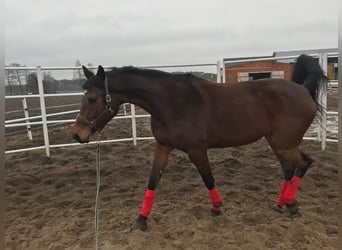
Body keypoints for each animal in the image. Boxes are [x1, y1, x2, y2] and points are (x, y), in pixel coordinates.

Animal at [71, 54, 326, 230]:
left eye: (92, 99)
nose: (77, 134)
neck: (173, 102)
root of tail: (303, 89)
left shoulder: (196, 150)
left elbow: (208, 178)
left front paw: (217, 208)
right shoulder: (163, 146)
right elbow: (153, 180)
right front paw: (141, 220)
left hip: (284, 143)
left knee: (303, 164)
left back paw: (291, 204)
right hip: (278, 143)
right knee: (290, 169)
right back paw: (281, 204)